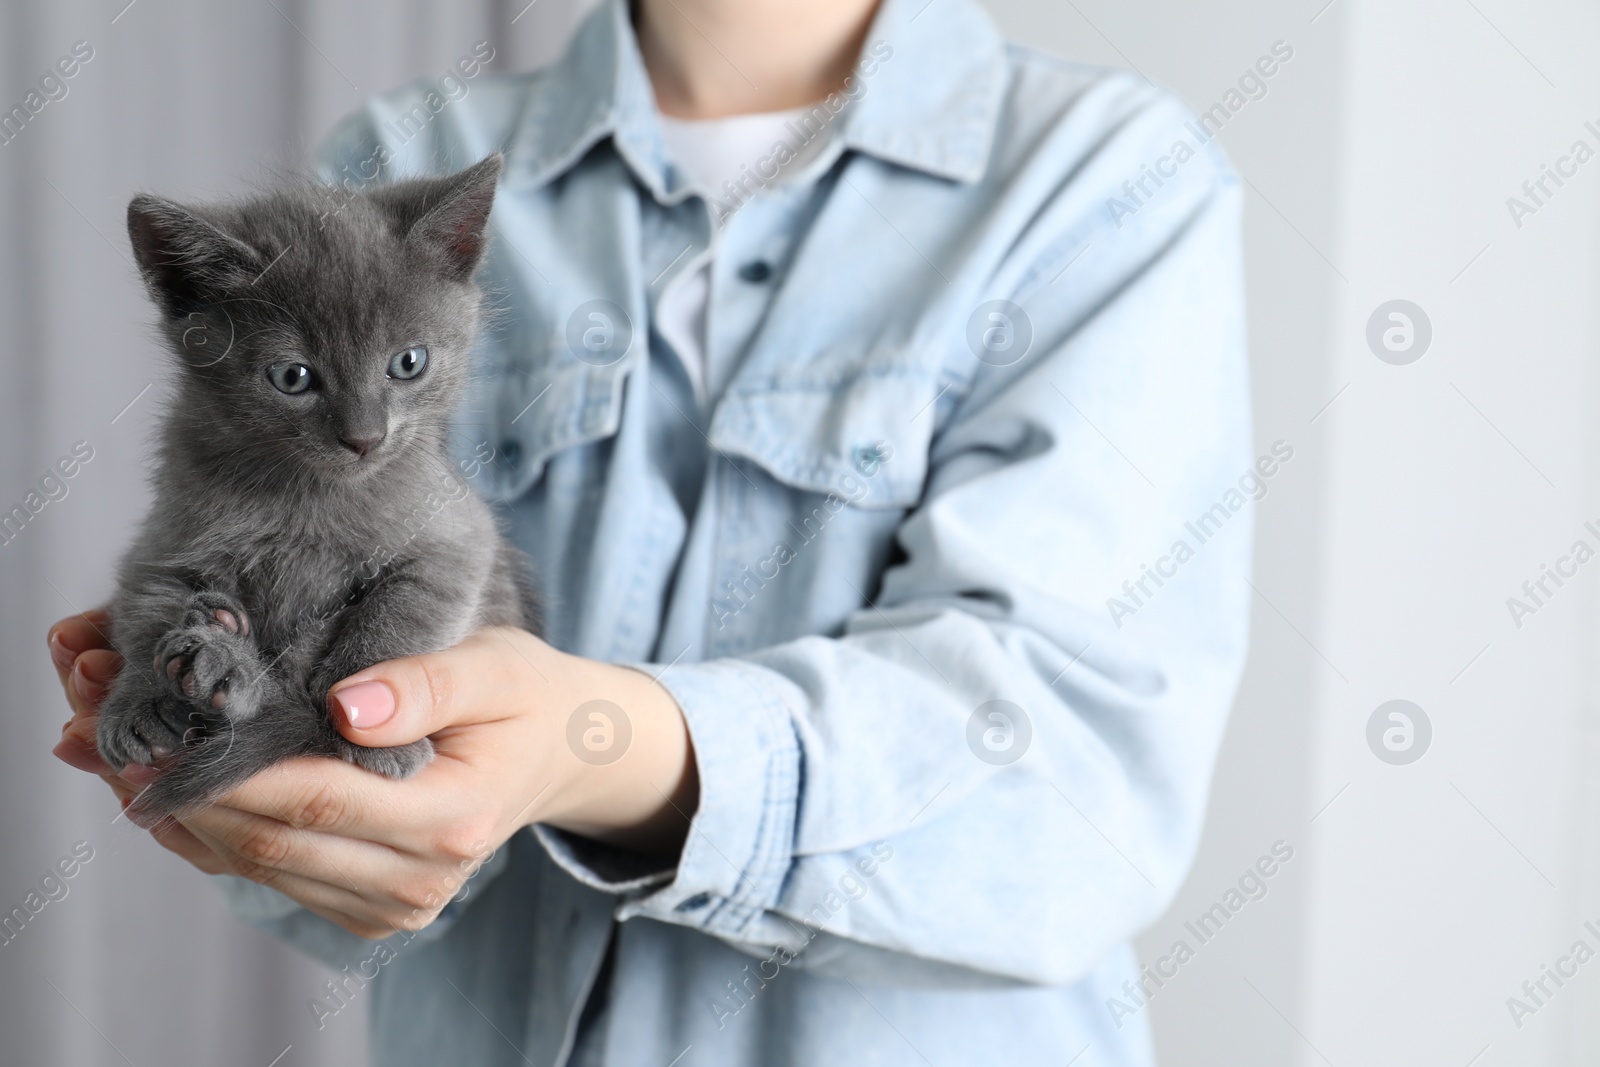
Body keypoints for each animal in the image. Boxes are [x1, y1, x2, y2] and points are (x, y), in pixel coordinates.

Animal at [98, 154, 537, 819]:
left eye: (409, 362)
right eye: (293, 376)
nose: (365, 437)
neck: (306, 496)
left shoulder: (457, 537)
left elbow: (397, 620)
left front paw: (371, 725)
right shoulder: (160, 540)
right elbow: (146, 608)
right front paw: (138, 702)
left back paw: (227, 662)